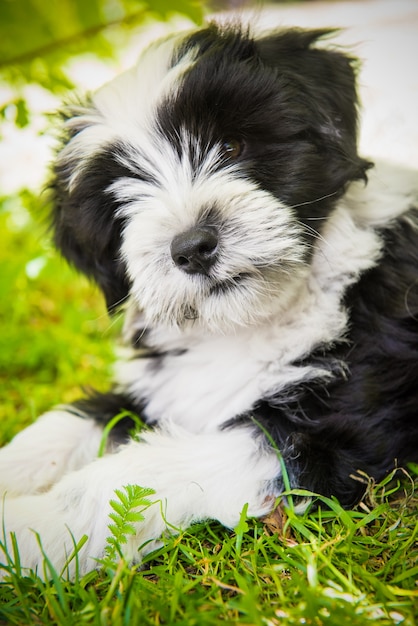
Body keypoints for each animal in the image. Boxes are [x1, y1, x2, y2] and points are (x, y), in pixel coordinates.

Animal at [0, 19, 418, 576]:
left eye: (233, 146)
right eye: (119, 196)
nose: (193, 247)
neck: (248, 323)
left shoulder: (332, 434)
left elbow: (136, 472)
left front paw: (28, 529)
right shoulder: (162, 387)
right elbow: (75, 420)